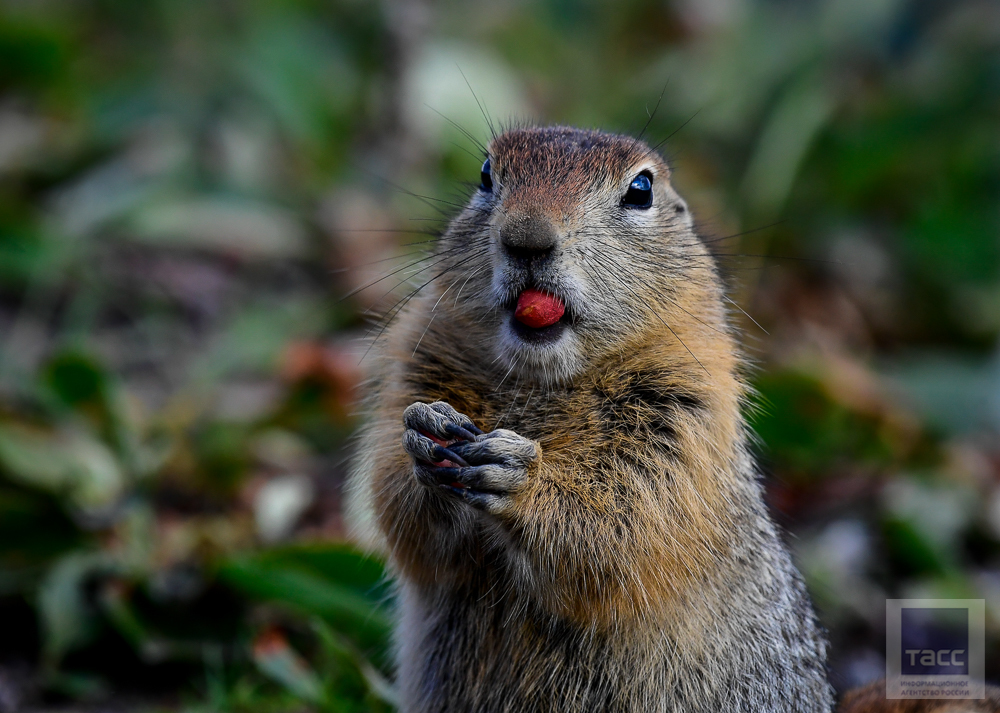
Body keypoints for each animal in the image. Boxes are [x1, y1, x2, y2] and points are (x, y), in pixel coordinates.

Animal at [348, 126, 988, 712]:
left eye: (641, 189)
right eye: (485, 175)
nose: (526, 238)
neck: (542, 380)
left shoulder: (687, 415)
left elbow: (634, 516)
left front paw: (521, 477)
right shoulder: (416, 362)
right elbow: (402, 515)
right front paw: (424, 435)